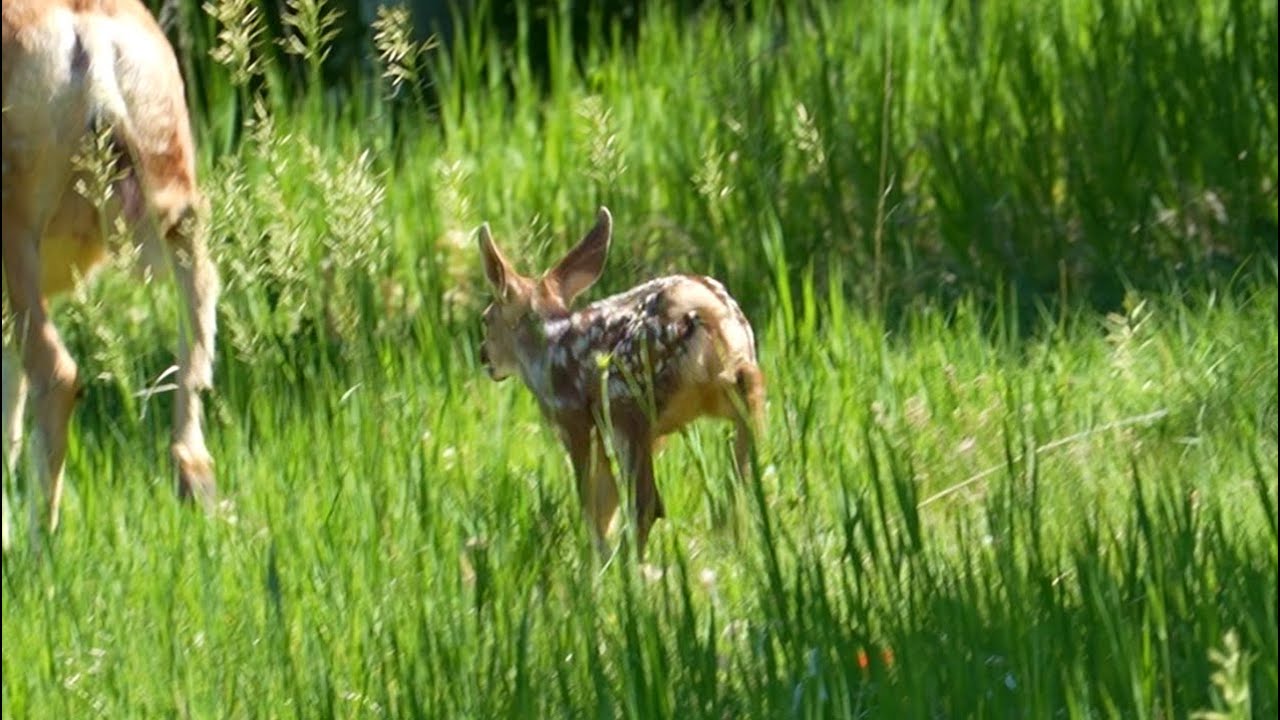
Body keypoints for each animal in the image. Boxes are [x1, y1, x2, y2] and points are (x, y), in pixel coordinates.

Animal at [477, 207, 765, 560]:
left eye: (485, 319)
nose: (483, 356)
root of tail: (710, 315)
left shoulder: (573, 416)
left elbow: (593, 500)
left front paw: (595, 558)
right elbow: (608, 497)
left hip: (626, 401)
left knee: (647, 503)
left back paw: (627, 566)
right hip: (739, 388)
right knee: (744, 479)